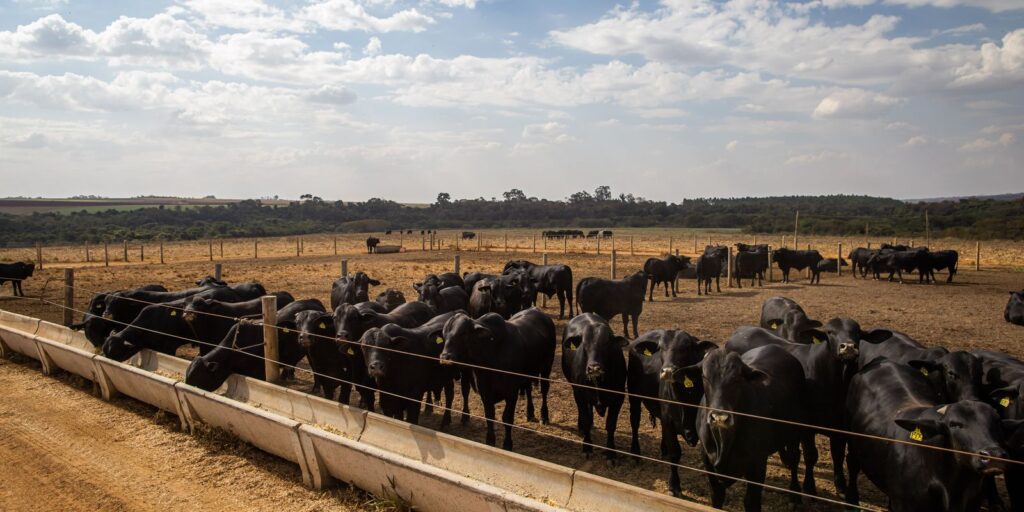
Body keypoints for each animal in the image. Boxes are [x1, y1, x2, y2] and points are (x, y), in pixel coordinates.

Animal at [438, 307, 557, 448]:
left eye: (463, 333)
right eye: (444, 336)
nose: (445, 357)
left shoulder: (511, 393)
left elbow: (507, 418)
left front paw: (507, 444)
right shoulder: (485, 392)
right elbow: (489, 416)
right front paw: (490, 441)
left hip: (546, 368)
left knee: (544, 390)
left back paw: (544, 416)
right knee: (528, 388)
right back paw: (530, 412)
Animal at [565, 311, 626, 460]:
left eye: (606, 343)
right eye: (584, 344)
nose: (594, 368)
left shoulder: (618, 398)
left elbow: (611, 424)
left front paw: (611, 452)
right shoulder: (580, 394)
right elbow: (586, 419)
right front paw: (587, 447)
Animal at [626, 329, 716, 493]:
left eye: (686, 348)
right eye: (661, 348)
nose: (667, 371)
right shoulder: (670, 422)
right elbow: (675, 453)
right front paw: (674, 485)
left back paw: (663, 449)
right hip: (633, 394)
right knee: (634, 421)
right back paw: (635, 453)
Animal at [684, 346, 811, 509]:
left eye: (737, 379)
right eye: (704, 377)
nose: (719, 417)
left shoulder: (757, 465)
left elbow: (751, 502)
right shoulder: (708, 463)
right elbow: (717, 497)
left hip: (794, 433)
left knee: (794, 459)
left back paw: (795, 496)